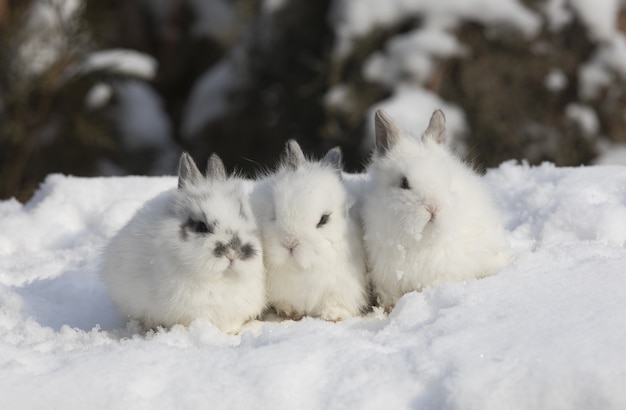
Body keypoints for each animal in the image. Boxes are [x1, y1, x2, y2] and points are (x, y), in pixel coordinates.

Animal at [249, 139, 366, 322]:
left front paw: (333, 315)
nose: (290, 243)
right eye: (274, 213)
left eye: (324, 219)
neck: (301, 270)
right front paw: (289, 312)